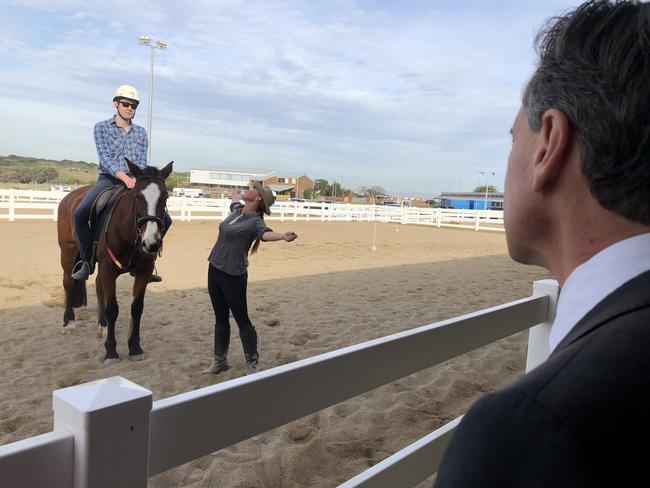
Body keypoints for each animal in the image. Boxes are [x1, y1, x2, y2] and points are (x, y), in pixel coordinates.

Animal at [57, 160, 172, 362]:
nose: (151, 243)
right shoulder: (109, 270)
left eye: (165, 197)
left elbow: (137, 308)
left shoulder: (144, 272)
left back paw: (102, 325)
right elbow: (113, 309)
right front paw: (111, 351)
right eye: (137, 196)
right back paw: (68, 322)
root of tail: (69, 197)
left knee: (97, 285)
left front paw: (135, 347)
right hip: (68, 252)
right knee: (68, 282)